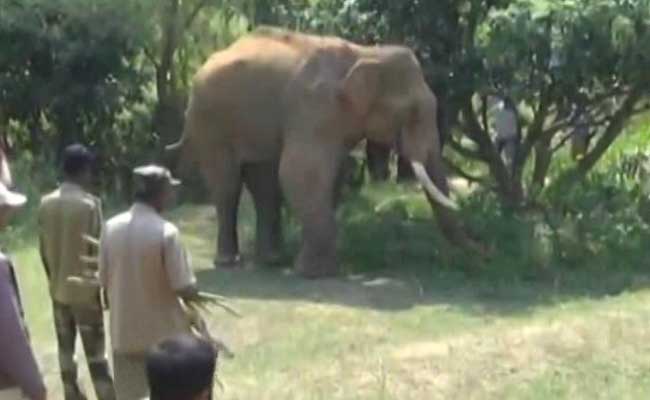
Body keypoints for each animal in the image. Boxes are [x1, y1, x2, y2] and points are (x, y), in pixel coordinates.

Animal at [168, 26, 477, 278]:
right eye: (411, 113)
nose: (482, 253)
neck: (364, 53)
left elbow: (331, 175)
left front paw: (317, 267)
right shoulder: (313, 107)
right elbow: (300, 172)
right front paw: (316, 272)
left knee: (265, 185)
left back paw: (272, 260)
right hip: (210, 122)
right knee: (227, 186)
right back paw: (228, 262)